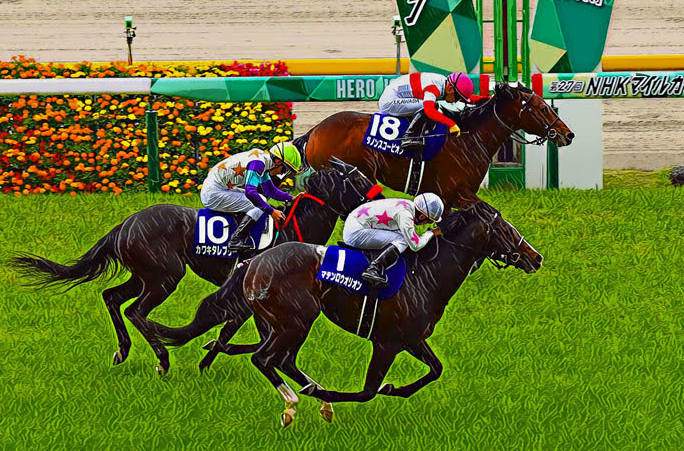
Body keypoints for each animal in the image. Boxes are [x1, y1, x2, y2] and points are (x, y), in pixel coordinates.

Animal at [12, 158, 383, 374]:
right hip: (164, 277)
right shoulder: (246, 297)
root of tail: (126, 224)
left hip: (144, 275)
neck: (290, 228)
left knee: (112, 297)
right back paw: (162, 360)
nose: (381, 201)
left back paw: (123, 351)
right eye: (358, 180)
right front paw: (208, 357)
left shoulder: (253, 303)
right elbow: (234, 333)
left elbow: (239, 335)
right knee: (135, 311)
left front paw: (207, 359)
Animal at [240, 207, 543, 426]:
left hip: (286, 324)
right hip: (295, 322)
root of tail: (254, 265)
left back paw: (313, 399)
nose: (536, 257)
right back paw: (294, 404)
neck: (425, 275)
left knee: (285, 360)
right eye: (506, 229)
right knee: (264, 359)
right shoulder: (386, 344)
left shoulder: (411, 339)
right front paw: (324, 394)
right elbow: (367, 392)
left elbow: (435, 369)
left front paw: (391, 388)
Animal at [297, 82, 574, 208]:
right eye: (542, 108)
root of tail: (314, 131)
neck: (471, 138)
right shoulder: (459, 193)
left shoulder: (450, 198)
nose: (568, 134)